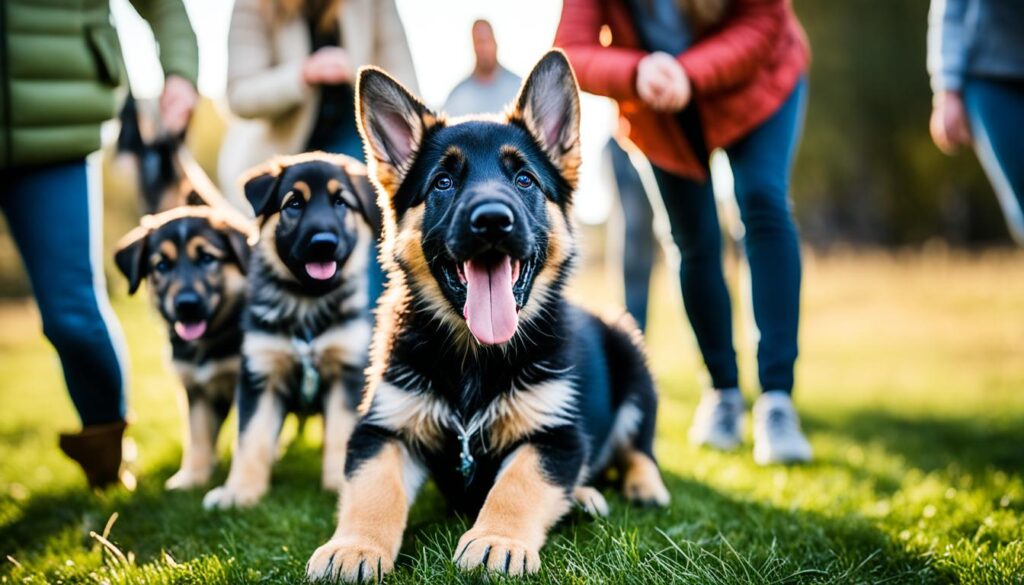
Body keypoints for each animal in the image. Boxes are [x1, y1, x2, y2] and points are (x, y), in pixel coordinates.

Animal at [113, 205, 251, 489]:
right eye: (162, 265)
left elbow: (244, 435)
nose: (187, 305)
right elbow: (197, 435)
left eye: (207, 258)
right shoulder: (194, 388)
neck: (209, 340)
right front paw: (192, 479)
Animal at [201, 153, 378, 510]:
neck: (306, 305)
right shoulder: (260, 374)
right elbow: (251, 438)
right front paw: (241, 492)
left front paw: (338, 484)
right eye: (294, 203)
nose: (323, 244)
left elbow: (340, 433)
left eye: (341, 202)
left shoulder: (347, 372)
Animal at [303, 52, 671, 581]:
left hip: (633, 360)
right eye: (443, 182)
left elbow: (518, 483)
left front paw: (497, 539)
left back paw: (636, 487)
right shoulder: (383, 429)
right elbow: (374, 490)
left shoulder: (555, 436)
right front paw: (354, 546)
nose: (493, 221)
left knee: (638, 447)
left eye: (524, 180)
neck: (475, 357)